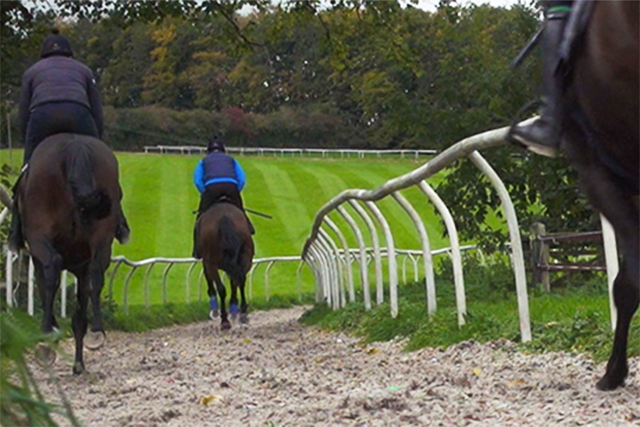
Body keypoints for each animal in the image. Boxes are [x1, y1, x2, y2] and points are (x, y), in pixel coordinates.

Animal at [15, 133, 125, 374]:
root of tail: (76, 146)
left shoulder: (39, 258)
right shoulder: (81, 267)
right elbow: (79, 314)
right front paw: (78, 362)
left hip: (41, 237)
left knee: (52, 266)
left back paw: (46, 338)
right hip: (102, 237)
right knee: (97, 270)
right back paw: (96, 332)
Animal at [195, 201, 255, 332]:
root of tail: (224, 217)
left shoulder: (206, 261)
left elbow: (211, 282)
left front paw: (215, 309)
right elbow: (235, 282)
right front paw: (234, 309)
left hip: (211, 261)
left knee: (221, 288)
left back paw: (224, 320)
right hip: (246, 257)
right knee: (241, 280)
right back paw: (240, 313)